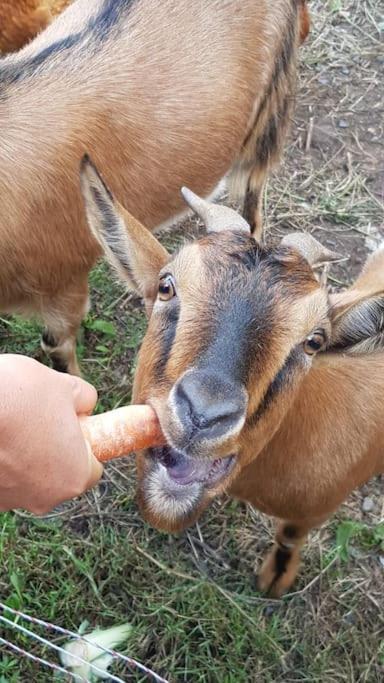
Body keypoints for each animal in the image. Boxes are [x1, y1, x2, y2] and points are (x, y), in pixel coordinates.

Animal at [81, 158, 384, 596]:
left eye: (314, 341)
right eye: (167, 285)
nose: (203, 414)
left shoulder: (316, 510)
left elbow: (290, 535)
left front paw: (274, 579)